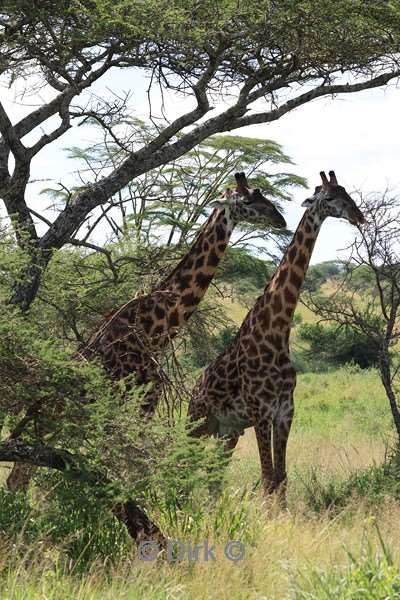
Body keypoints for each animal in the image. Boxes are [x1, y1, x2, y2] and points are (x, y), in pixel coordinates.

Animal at [7, 173, 286, 492]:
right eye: (248, 200)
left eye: (262, 194)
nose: (280, 219)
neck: (156, 329)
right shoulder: (144, 401)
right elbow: (134, 468)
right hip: (56, 421)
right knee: (20, 474)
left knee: (22, 474)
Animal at [186, 170, 364, 502]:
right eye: (330, 197)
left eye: (346, 193)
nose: (358, 216)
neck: (276, 331)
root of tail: (194, 387)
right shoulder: (260, 412)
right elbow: (268, 478)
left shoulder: (285, 411)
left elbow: (280, 478)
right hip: (197, 421)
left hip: (227, 430)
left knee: (214, 475)